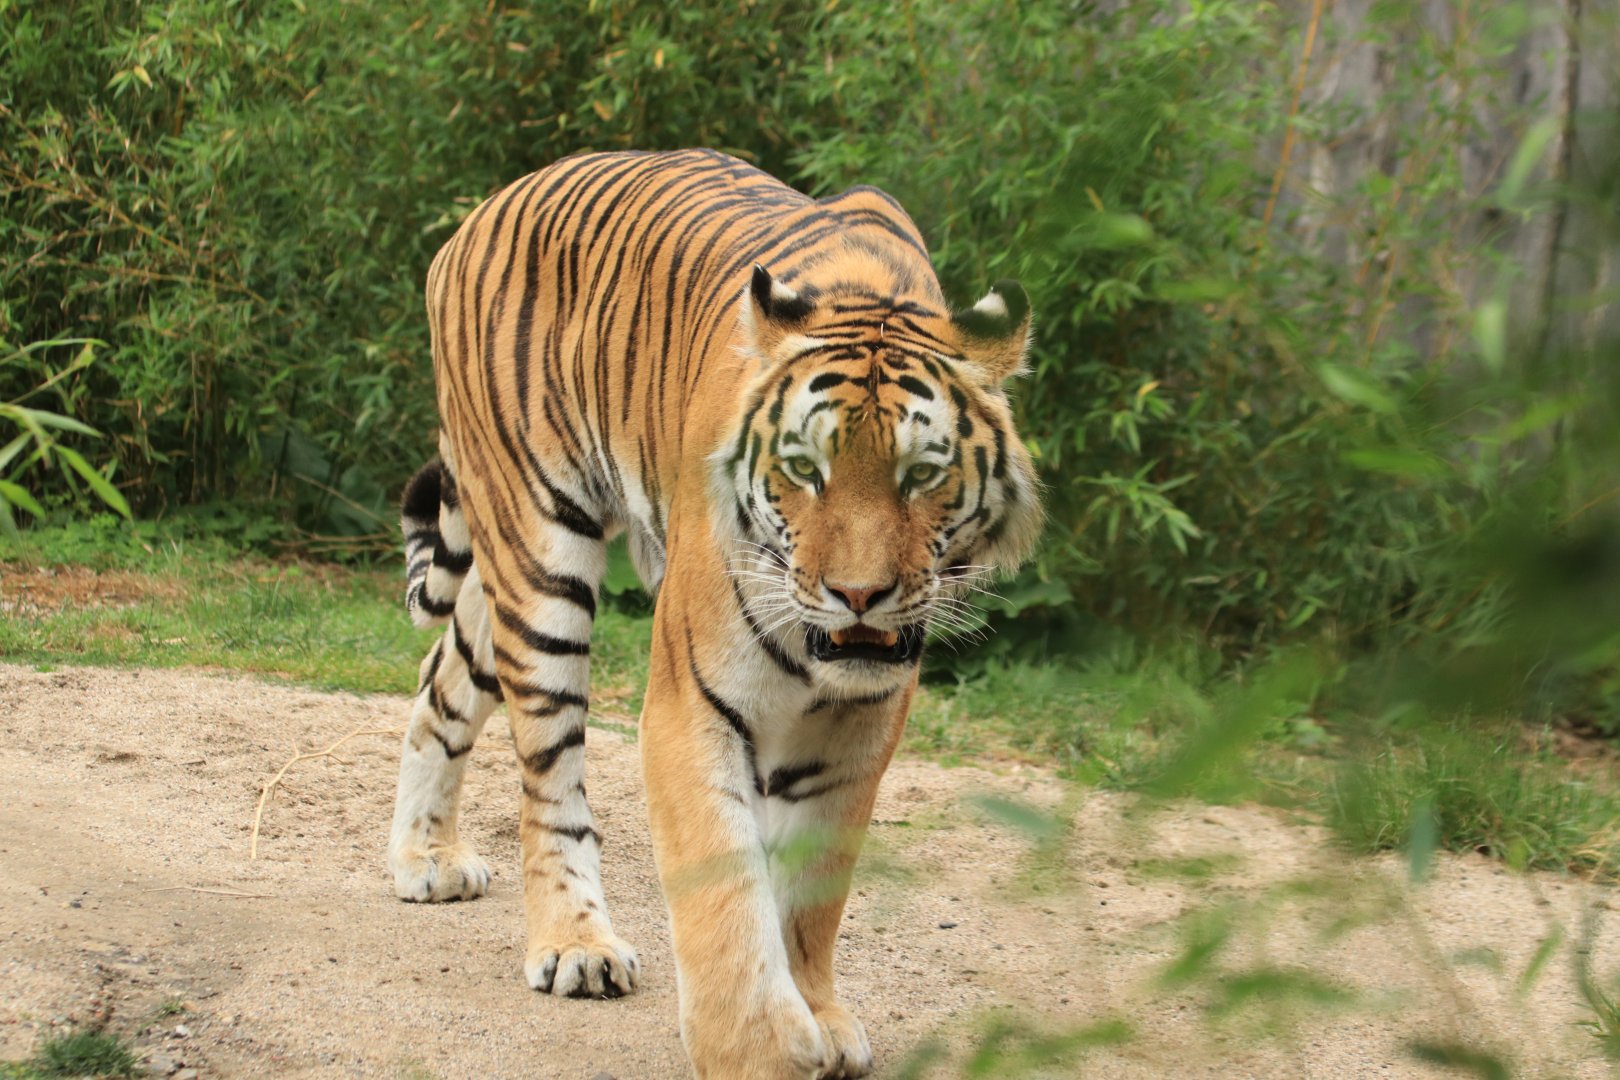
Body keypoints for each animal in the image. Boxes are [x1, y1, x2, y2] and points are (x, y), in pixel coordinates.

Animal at [389, 148, 1042, 1079]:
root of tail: (481, 213)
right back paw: (575, 943)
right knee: (550, 773)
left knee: (440, 683)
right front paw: (759, 1051)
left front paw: (819, 1015)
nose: (859, 595)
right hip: (539, 551)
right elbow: (725, 887)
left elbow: (813, 891)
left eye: (923, 473)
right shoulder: (693, 700)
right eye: (805, 468)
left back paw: (426, 858)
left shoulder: (863, 726)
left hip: (499, 580)